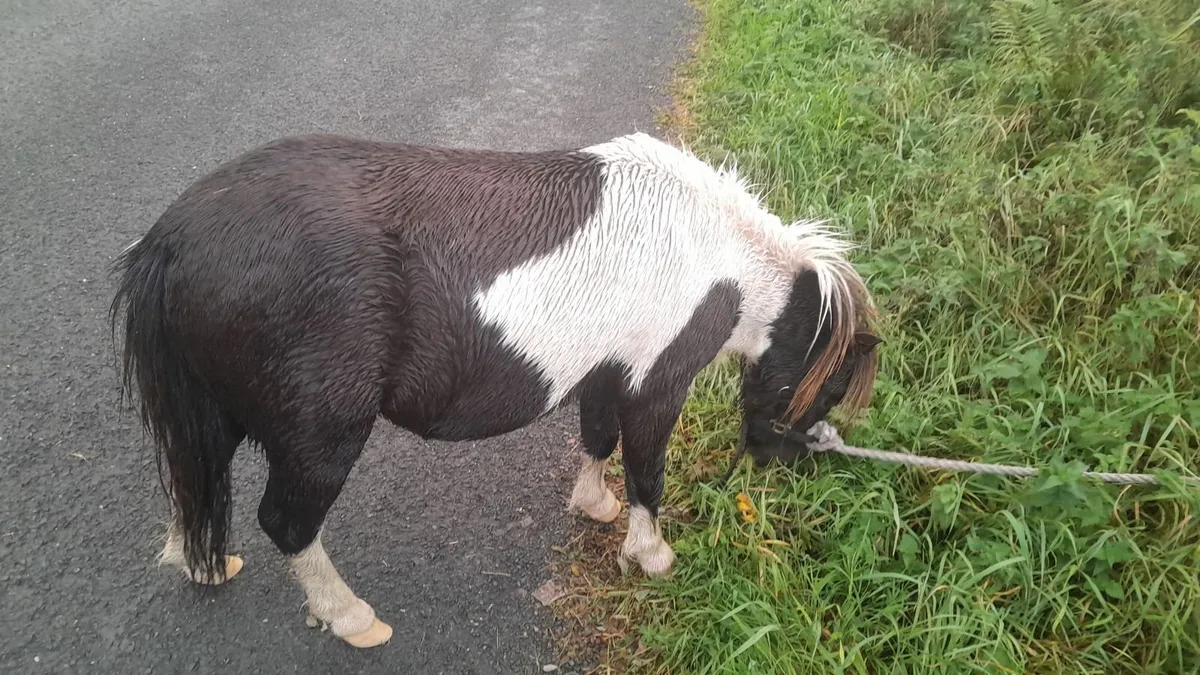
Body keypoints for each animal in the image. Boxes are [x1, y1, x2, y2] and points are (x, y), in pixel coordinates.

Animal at [109, 131, 881, 649]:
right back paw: (351, 617)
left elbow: (598, 439)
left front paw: (593, 506)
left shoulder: (605, 371)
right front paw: (652, 555)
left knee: (197, 482)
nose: (781, 460)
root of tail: (172, 240)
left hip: (219, 413)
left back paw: (202, 563)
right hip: (321, 435)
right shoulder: (656, 384)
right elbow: (646, 472)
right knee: (286, 523)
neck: (712, 253)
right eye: (829, 387)